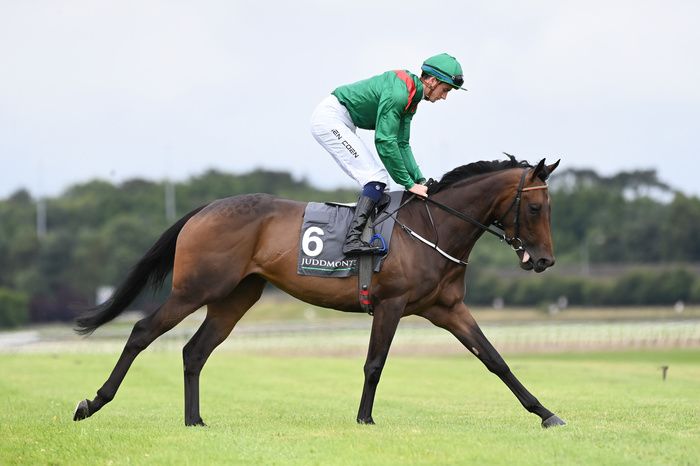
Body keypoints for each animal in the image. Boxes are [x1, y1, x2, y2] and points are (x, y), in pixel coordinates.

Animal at [71, 157, 568, 430]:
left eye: (550, 206)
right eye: (536, 207)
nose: (544, 260)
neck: (433, 229)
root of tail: (205, 208)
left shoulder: (448, 309)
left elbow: (495, 360)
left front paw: (546, 412)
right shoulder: (390, 305)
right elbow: (374, 364)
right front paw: (365, 418)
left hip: (235, 297)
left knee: (194, 351)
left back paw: (194, 420)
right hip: (197, 287)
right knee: (141, 331)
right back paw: (92, 402)